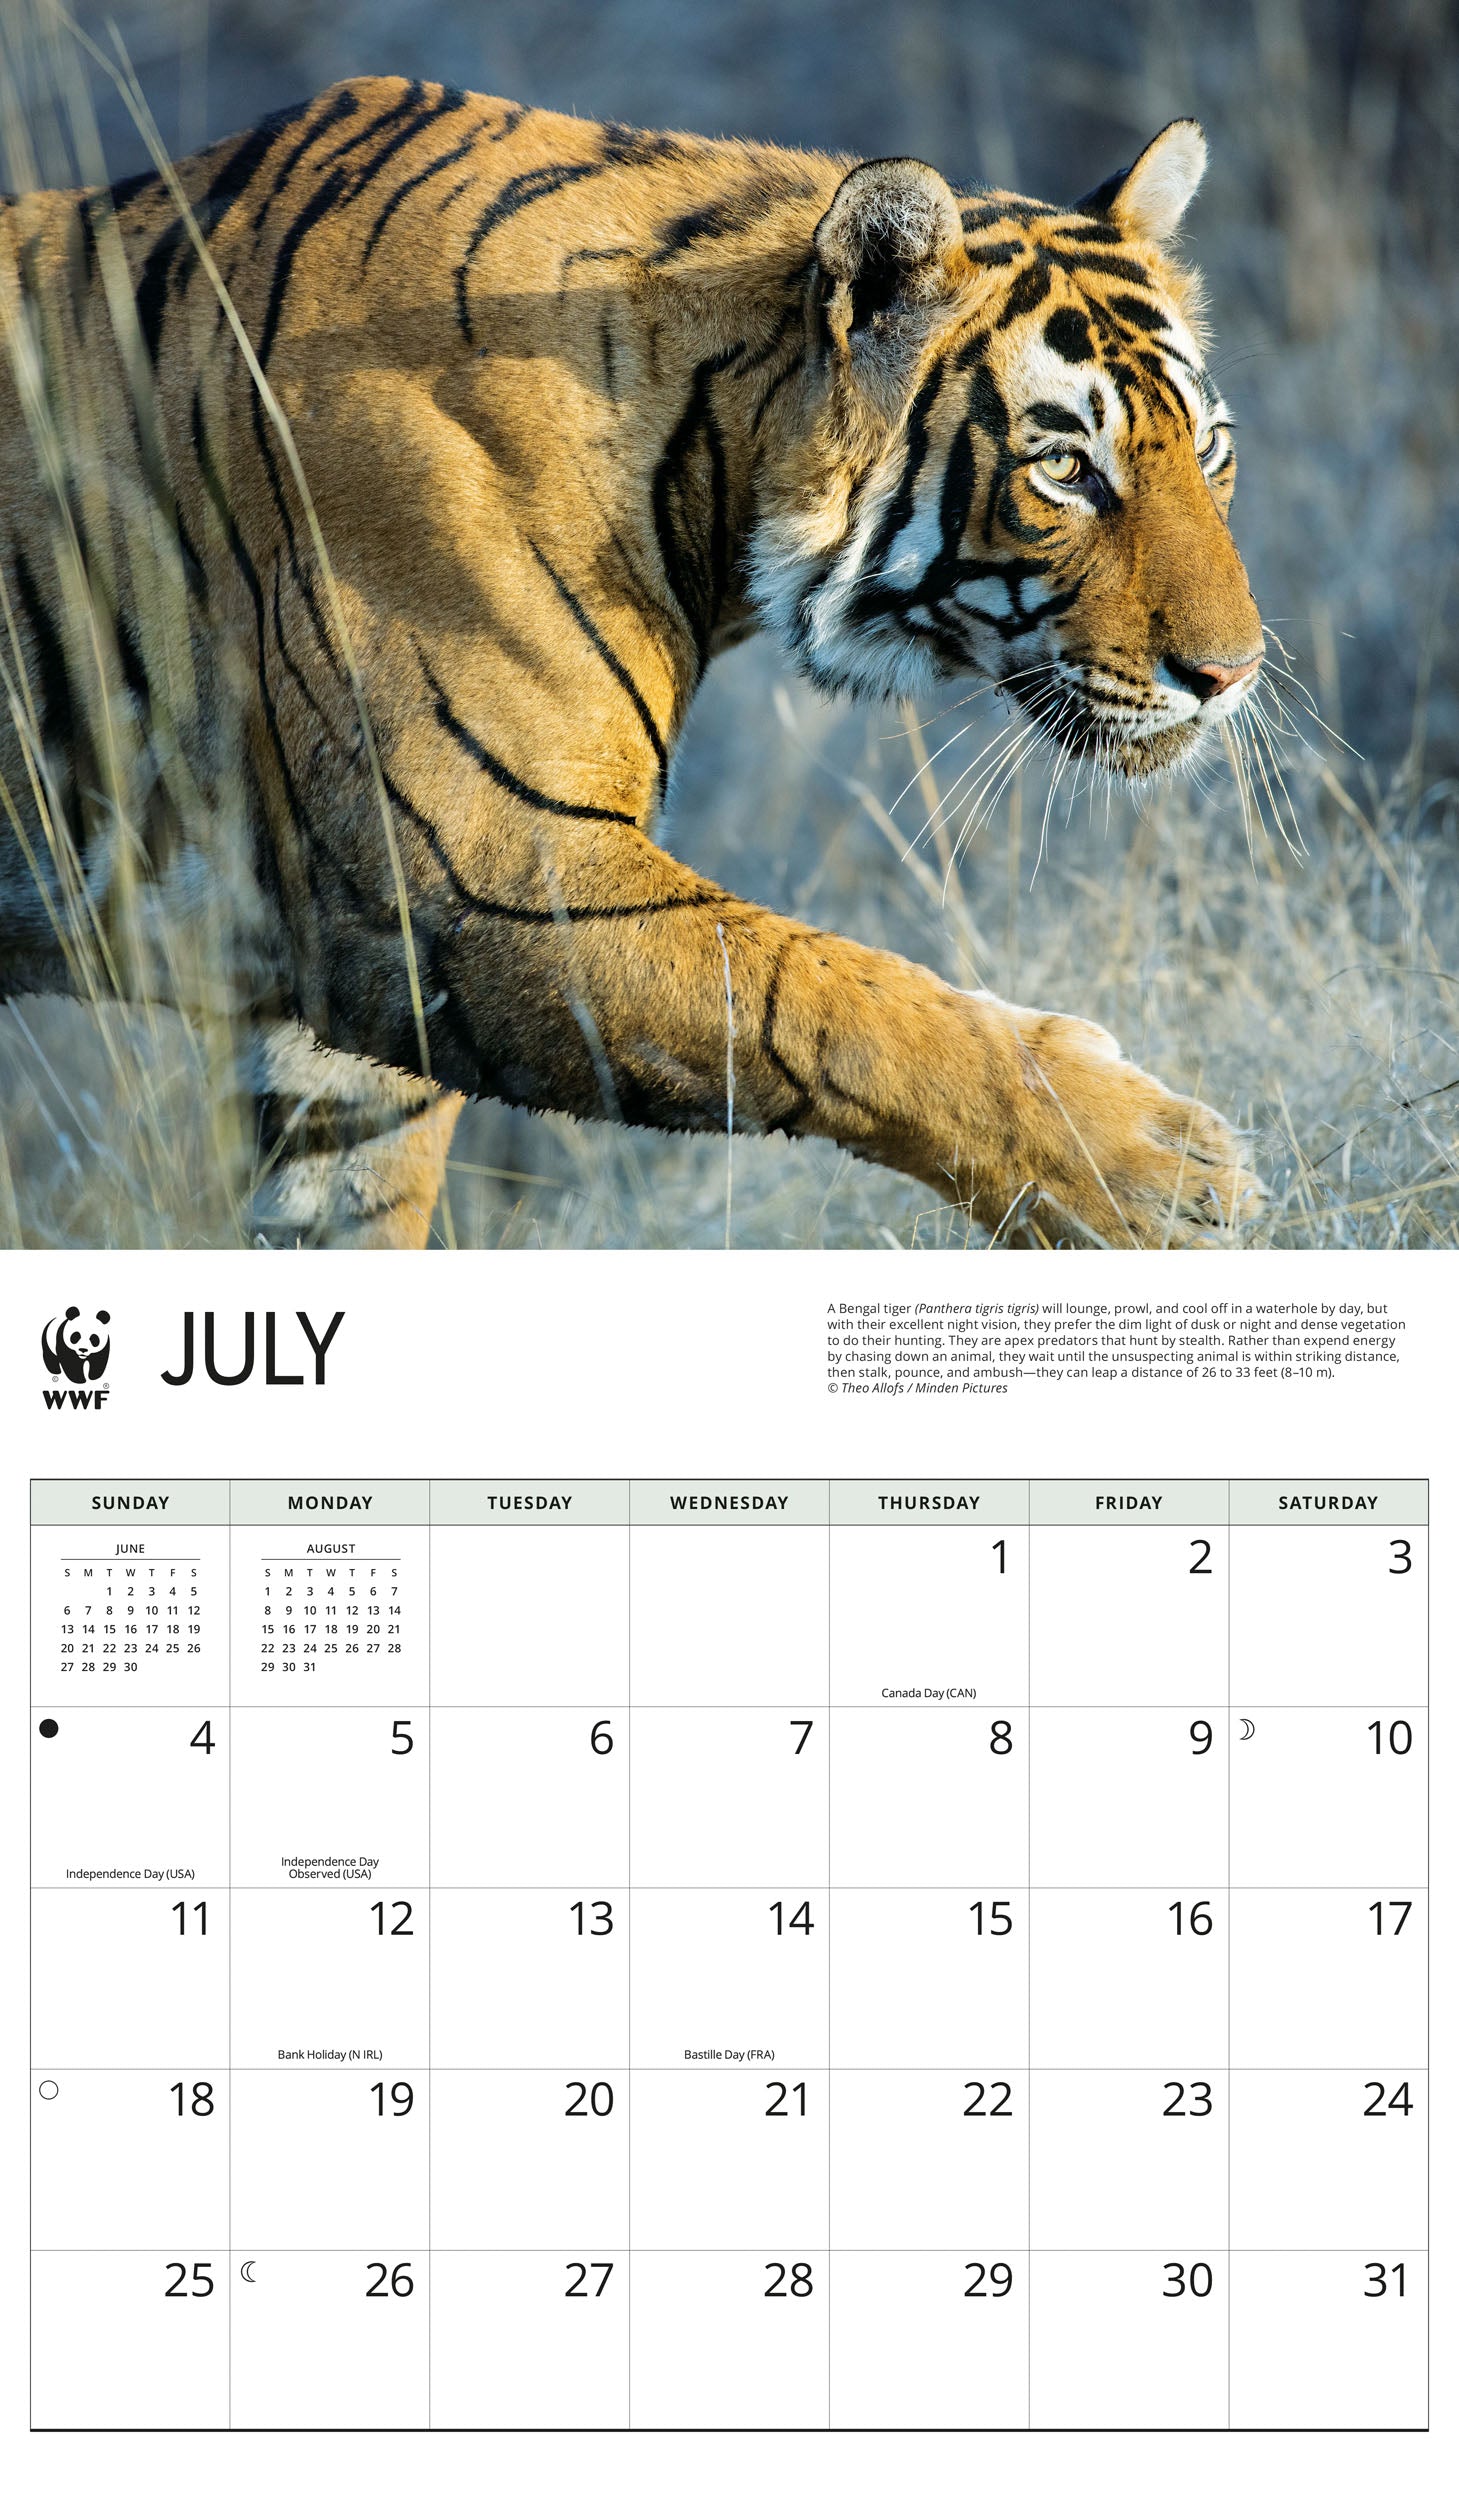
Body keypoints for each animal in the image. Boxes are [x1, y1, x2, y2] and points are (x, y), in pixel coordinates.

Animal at [0, 79, 1268, 1248]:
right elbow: (813, 994)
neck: (701, 442)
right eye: (1065, 470)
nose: (1232, 673)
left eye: (1210, 448)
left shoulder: (352, 1028)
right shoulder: (470, 877)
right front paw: (1153, 1167)